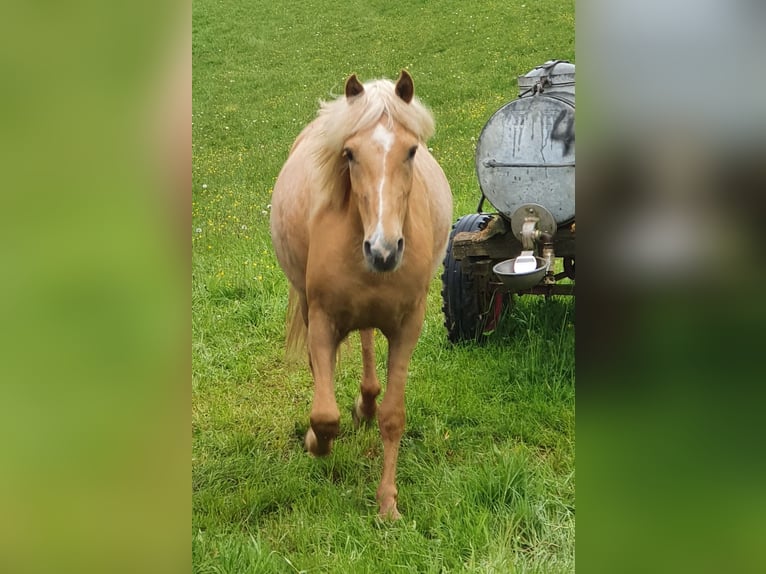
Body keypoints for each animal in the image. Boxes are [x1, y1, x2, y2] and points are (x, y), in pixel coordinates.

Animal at [270, 70, 452, 520]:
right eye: (349, 154)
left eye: (411, 150)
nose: (383, 250)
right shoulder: (322, 319)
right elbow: (324, 414)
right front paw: (316, 443)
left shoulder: (407, 327)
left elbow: (393, 417)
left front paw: (387, 503)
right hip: (308, 305)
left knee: (368, 346)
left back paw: (365, 404)